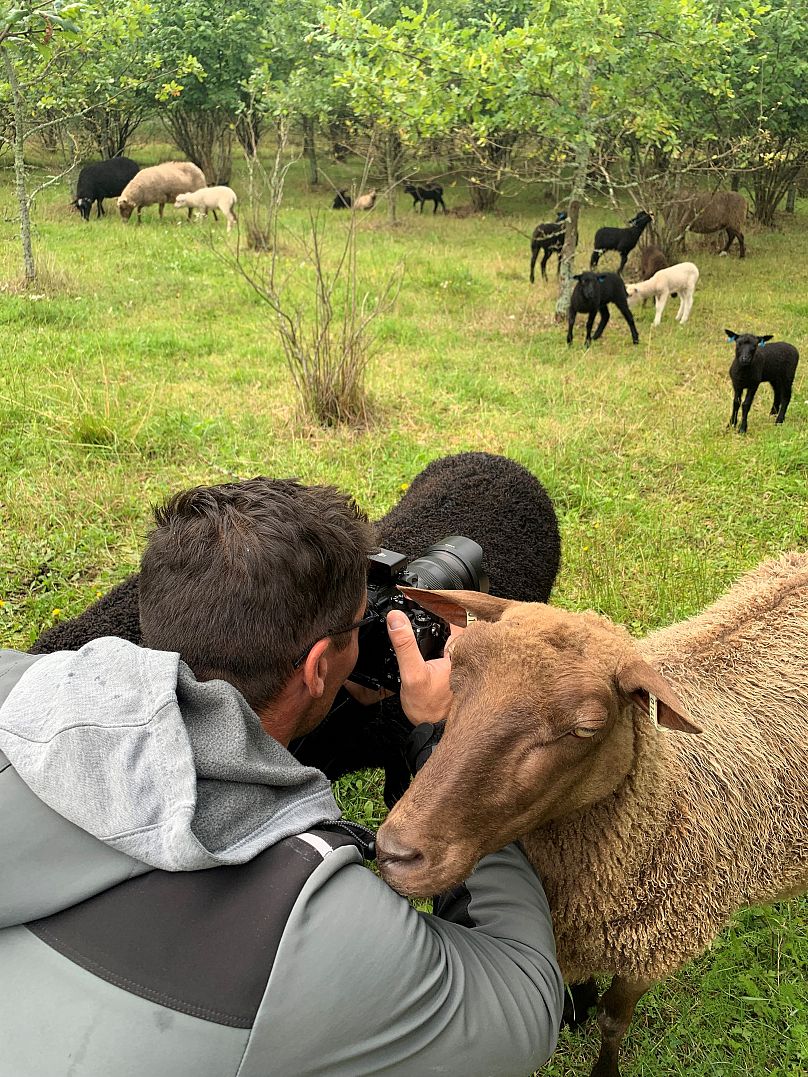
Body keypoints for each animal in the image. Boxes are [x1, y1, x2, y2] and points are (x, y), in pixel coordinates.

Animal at [379, 555, 808, 1077]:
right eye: (453, 675)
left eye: (586, 727)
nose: (396, 852)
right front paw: (574, 1009)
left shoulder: (656, 946)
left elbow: (613, 1021)